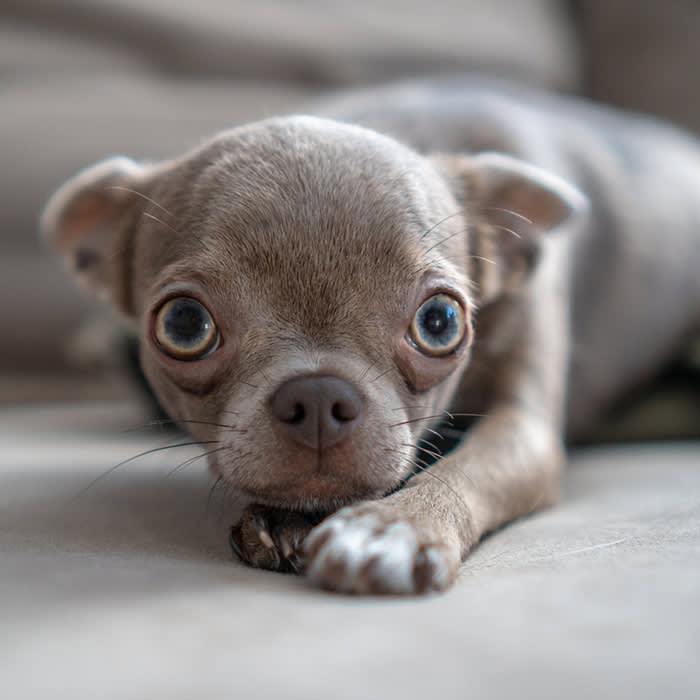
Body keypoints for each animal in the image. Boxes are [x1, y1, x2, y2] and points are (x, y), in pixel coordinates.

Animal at [42, 83, 700, 596]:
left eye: (440, 322)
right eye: (183, 325)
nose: (316, 397)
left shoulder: (523, 427)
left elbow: (468, 467)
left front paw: (394, 527)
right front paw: (289, 520)